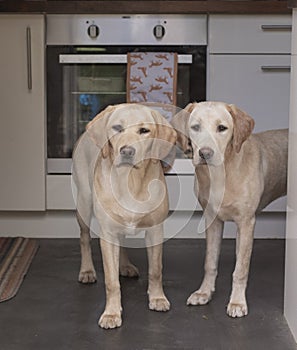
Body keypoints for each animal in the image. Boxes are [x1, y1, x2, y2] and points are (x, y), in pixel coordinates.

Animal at [72, 103, 176, 328]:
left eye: (144, 131)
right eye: (117, 128)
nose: (127, 151)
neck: (130, 181)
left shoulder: (155, 231)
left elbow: (156, 270)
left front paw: (157, 298)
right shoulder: (107, 234)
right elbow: (111, 281)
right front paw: (111, 313)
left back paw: (125, 265)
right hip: (84, 202)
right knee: (84, 237)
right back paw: (87, 270)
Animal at [171, 100, 286, 318]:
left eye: (222, 128)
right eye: (195, 127)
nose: (205, 154)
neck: (221, 174)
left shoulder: (246, 223)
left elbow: (240, 269)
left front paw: (237, 302)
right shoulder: (212, 221)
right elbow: (210, 262)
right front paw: (204, 293)